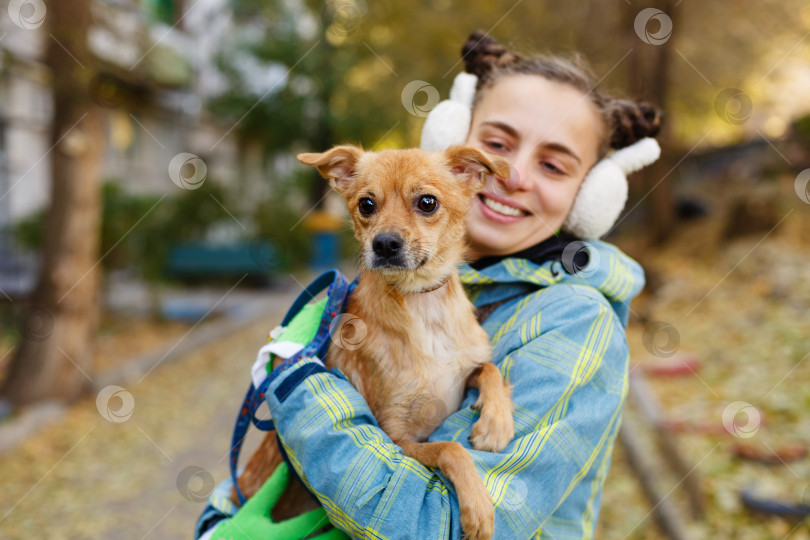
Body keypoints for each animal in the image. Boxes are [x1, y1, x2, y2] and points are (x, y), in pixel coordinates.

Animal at [234, 144, 512, 540]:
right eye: (366, 204)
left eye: (427, 202)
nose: (384, 244)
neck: (423, 309)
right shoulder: (397, 438)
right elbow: (449, 448)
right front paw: (477, 509)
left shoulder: (463, 373)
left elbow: (488, 367)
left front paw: (496, 423)